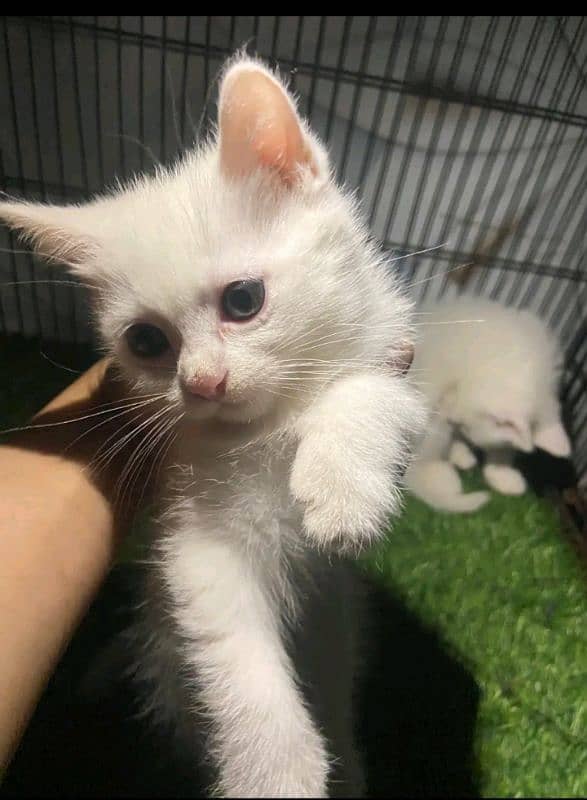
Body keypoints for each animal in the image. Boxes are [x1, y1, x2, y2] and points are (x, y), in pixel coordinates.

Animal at [0, 54, 424, 792]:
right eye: (145, 341)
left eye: (243, 301)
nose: (202, 383)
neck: (268, 428)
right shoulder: (196, 542)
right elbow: (233, 655)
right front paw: (274, 771)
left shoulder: (397, 362)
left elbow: (366, 393)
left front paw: (342, 494)